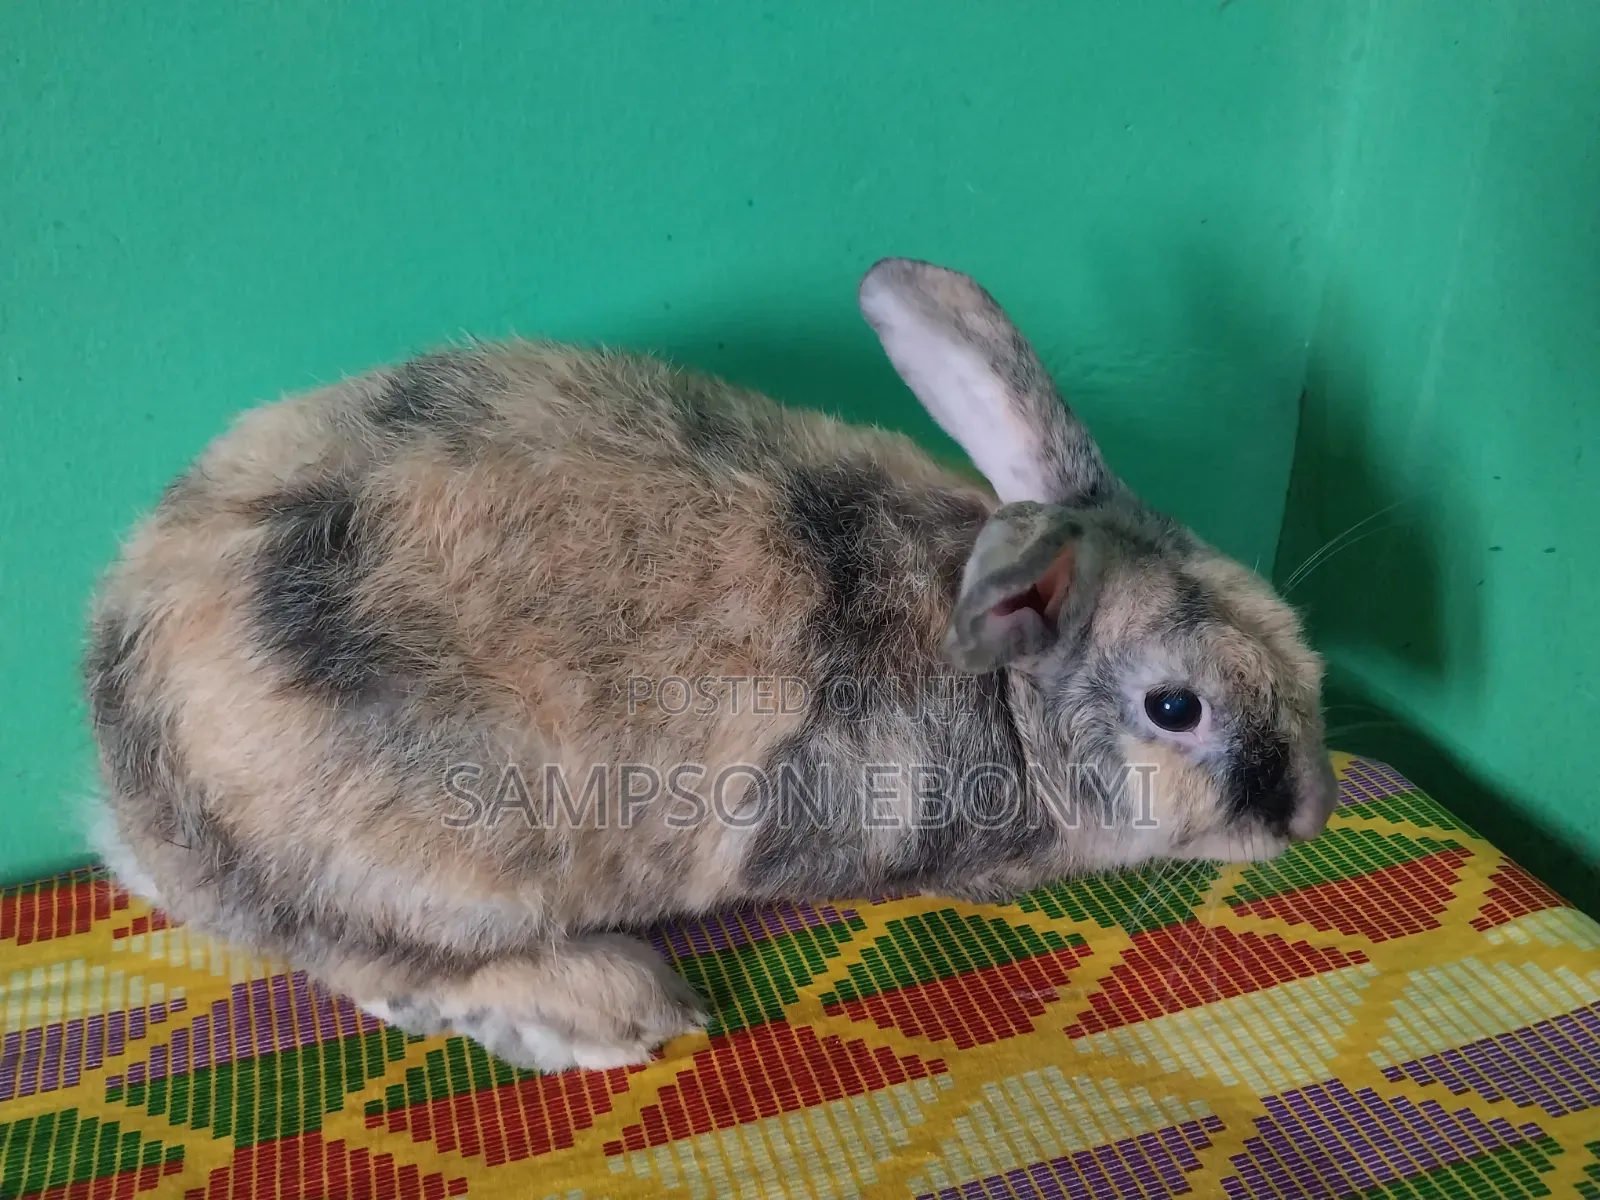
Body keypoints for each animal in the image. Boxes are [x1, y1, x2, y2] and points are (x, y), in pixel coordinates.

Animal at [82, 258, 1338, 1073]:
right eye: (1173, 707)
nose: (1311, 813)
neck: (1011, 690)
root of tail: (131, 761)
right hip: (438, 865)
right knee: (376, 964)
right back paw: (611, 1011)